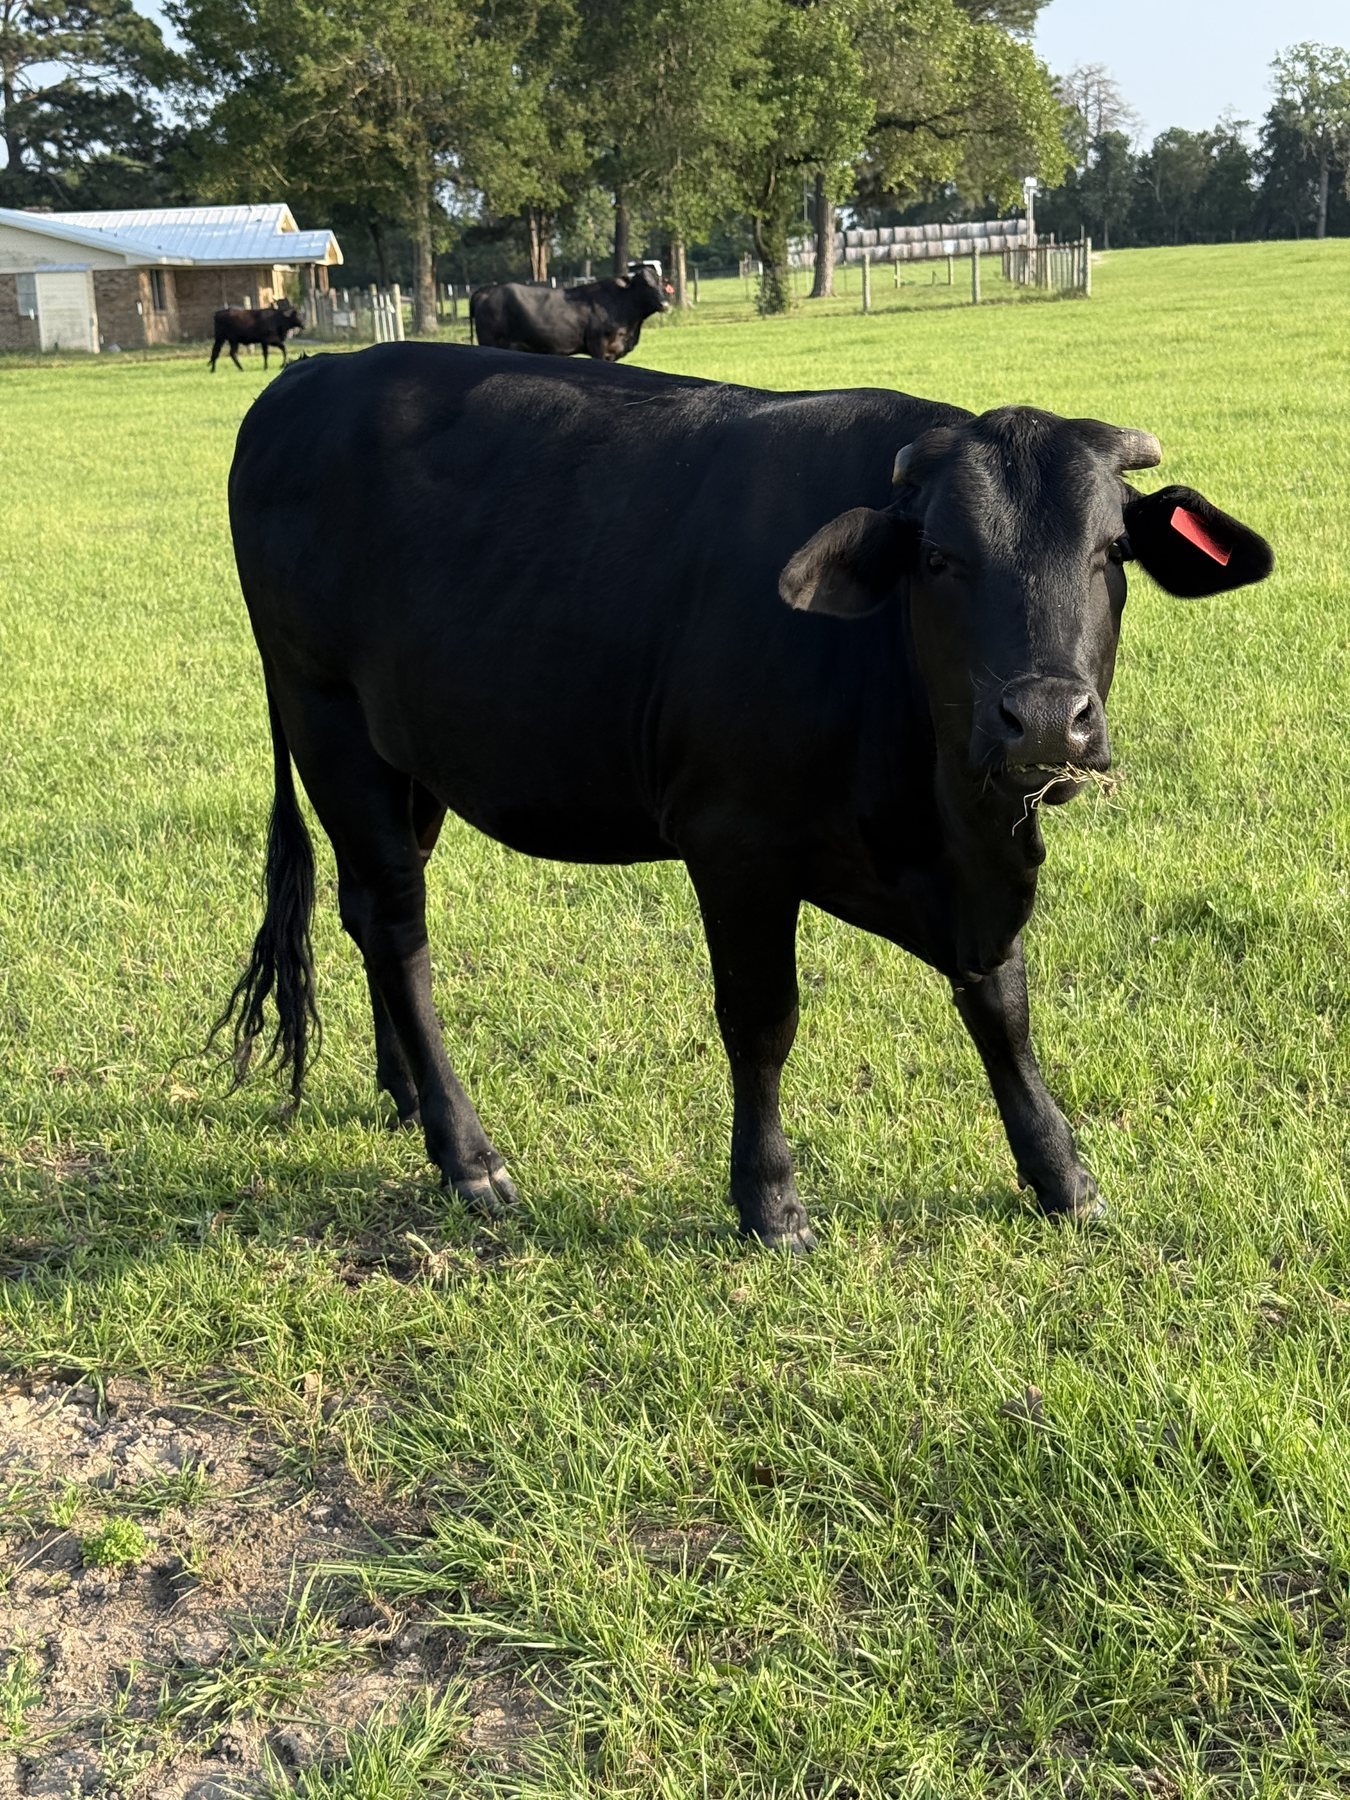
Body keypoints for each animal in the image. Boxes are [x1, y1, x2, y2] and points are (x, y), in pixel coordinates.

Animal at [213, 344, 1273, 1250]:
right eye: (938, 558)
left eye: (1113, 551)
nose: (1047, 720)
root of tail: (307, 376)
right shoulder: (735, 846)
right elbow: (763, 1021)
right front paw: (769, 1201)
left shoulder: (971, 868)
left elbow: (1001, 1007)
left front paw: (1061, 1175)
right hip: (329, 723)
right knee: (397, 922)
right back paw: (466, 1154)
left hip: (409, 759)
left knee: (368, 913)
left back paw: (401, 1093)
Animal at [469, 267, 667, 360]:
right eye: (644, 284)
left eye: (660, 283)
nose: (664, 304)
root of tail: (486, 290)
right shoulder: (598, 345)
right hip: (490, 341)